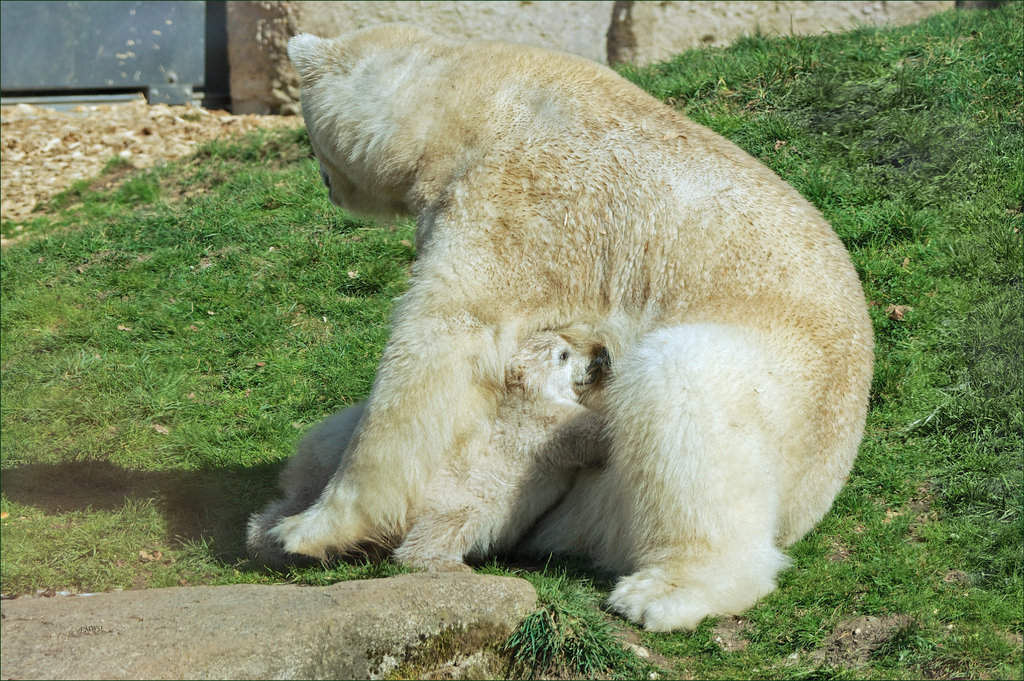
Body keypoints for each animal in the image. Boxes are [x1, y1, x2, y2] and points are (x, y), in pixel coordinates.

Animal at [248, 329, 610, 569]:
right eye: (563, 354)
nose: (600, 354)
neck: (526, 396)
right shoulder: (542, 425)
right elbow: (589, 434)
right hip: (445, 503)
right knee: (448, 526)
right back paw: (447, 563)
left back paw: (270, 538)